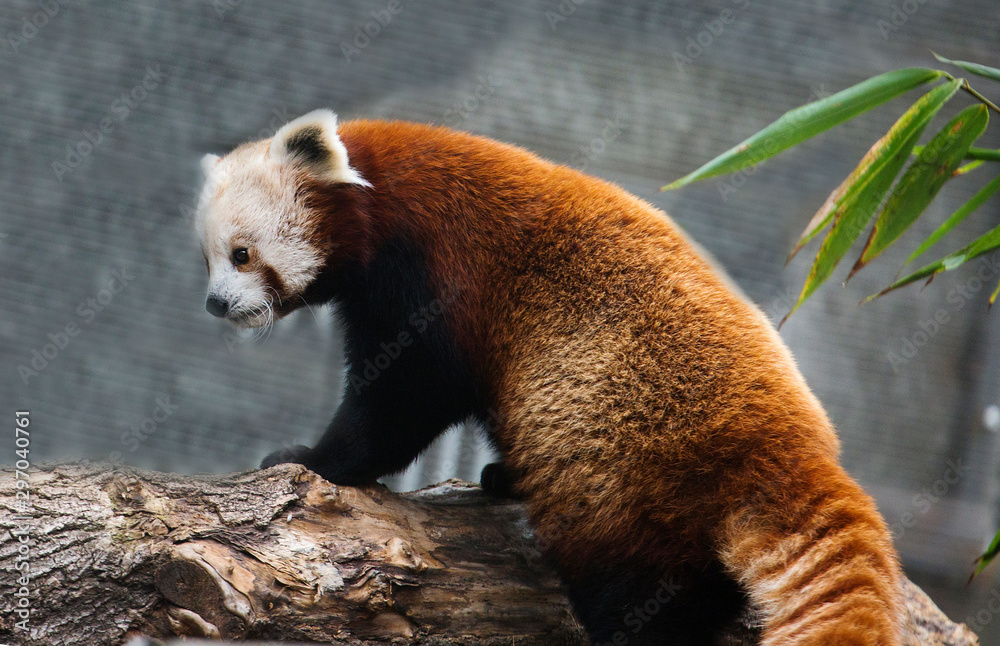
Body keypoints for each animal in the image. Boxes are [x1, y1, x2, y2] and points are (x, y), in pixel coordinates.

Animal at [196, 109, 901, 645]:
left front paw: (316, 460)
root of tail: (787, 442)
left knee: (637, 589)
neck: (380, 197)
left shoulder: (431, 281)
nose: (214, 304)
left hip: (627, 465)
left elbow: (404, 399)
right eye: (207, 259)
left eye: (242, 254)